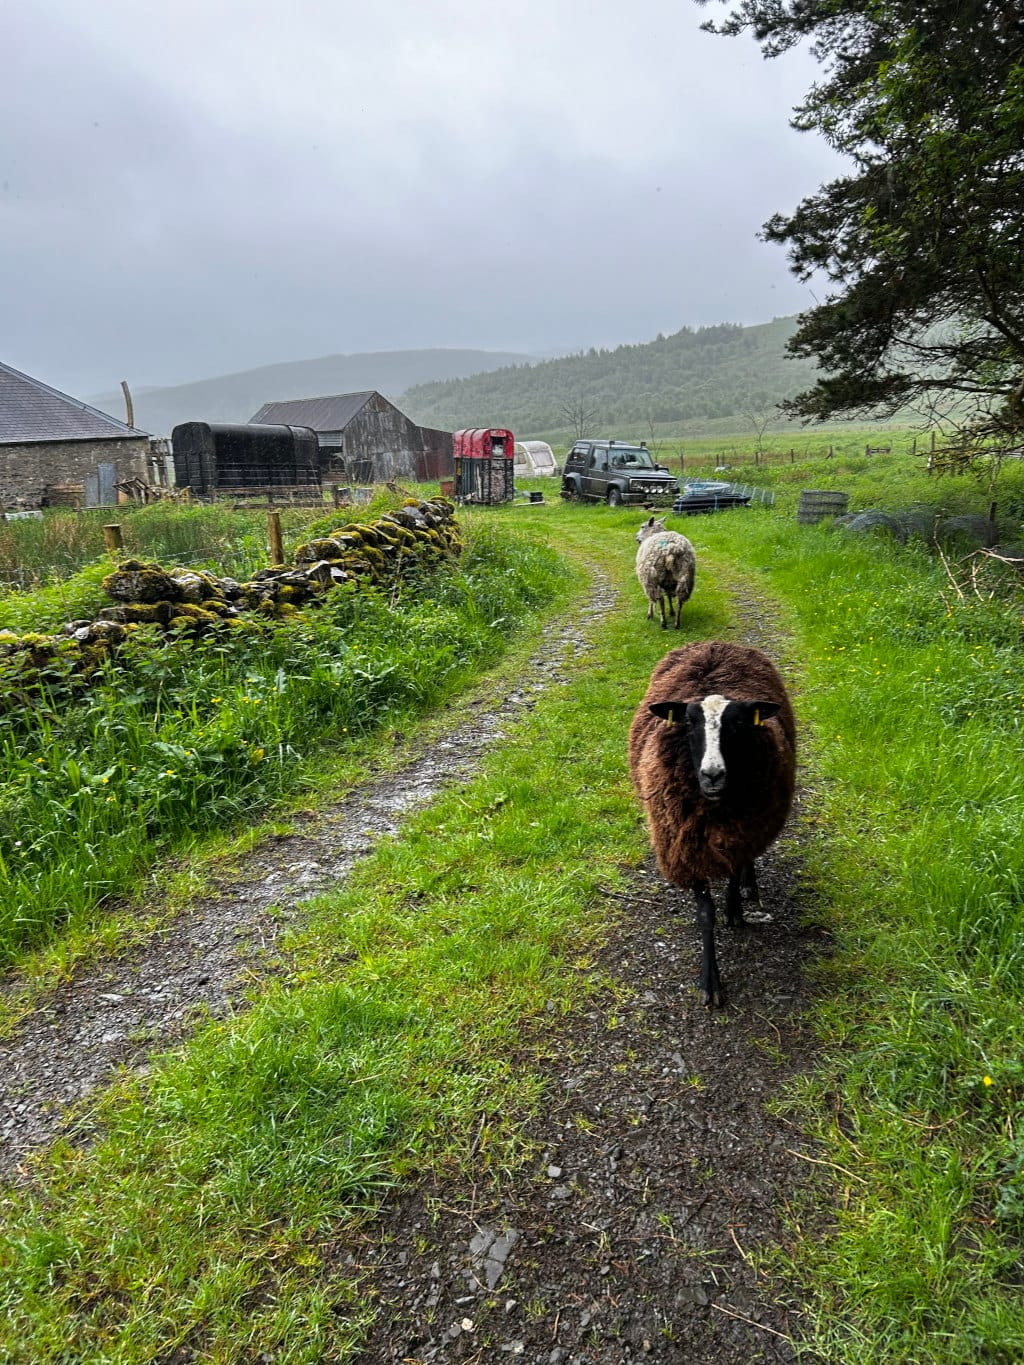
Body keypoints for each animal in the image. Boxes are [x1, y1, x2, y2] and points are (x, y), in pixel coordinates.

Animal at [628, 640, 796, 1007]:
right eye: (690, 724)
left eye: (738, 725)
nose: (712, 775)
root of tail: (716, 644)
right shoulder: (687, 846)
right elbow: (705, 914)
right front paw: (710, 982)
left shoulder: (738, 833)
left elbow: (732, 878)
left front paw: (734, 909)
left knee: (749, 860)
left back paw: (750, 885)